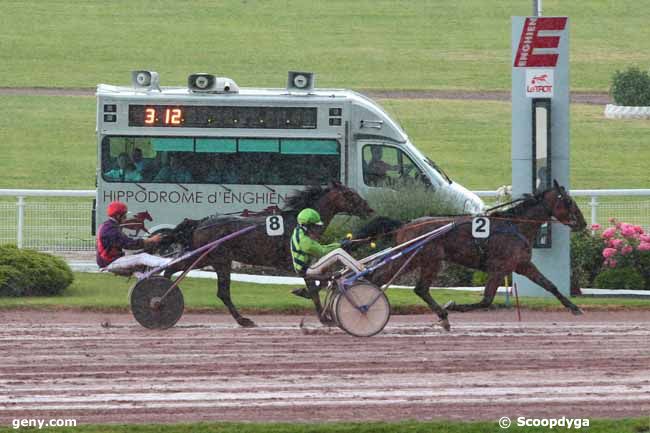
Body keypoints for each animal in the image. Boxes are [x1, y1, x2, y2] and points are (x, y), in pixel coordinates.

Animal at [159, 181, 372, 326]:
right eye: (350, 194)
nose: (369, 208)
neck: (300, 223)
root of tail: (200, 223)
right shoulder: (294, 262)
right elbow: (314, 285)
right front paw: (324, 316)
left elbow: (322, 280)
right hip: (219, 260)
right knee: (222, 292)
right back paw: (242, 319)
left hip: (205, 258)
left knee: (173, 269)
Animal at [360, 181, 588, 330]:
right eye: (568, 201)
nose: (583, 222)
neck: (516, 225)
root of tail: (405, 224)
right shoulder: (499, 268)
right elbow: (486, 300)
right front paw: (453, 306)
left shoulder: (522, 265)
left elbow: (550, 285)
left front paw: (574, 307)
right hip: (420, 258)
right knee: (396, 281)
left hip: (421, 259)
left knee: (415, 287)